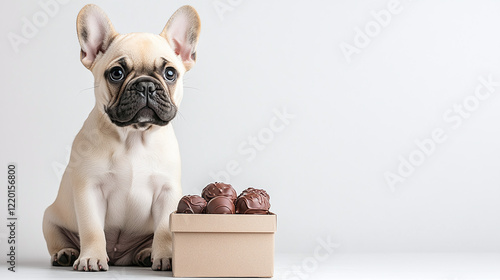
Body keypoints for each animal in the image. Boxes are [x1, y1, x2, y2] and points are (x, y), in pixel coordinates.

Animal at [42, 3, 200, 272]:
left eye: (170, 73)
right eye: (116, 73)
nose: (146, 85)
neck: (134, 137)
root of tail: (119, 256)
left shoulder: (167, 192)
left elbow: (164, 229)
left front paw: (167, 256)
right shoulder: (89, 190)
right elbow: (92, 228)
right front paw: (91, 257)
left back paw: (146, 254)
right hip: (49, 218)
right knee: (57, 238)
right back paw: (66, 253)